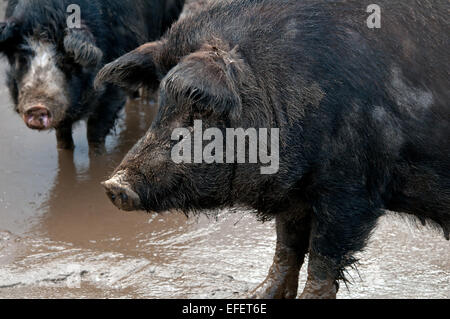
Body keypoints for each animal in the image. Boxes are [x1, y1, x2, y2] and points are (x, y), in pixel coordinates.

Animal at [0, 0, 185, 151]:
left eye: (65, 59)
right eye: (22, 58)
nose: (37, 106)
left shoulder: (111, 90)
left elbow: (94, 134)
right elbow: (62, 137)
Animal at [95, 0, 450, 300]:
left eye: (200, 107)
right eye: (162, 103)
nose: (114, 185)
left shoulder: (353, 188)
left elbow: (323, 258)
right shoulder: (296, 189)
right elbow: (286, 246)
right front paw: (255, 296)